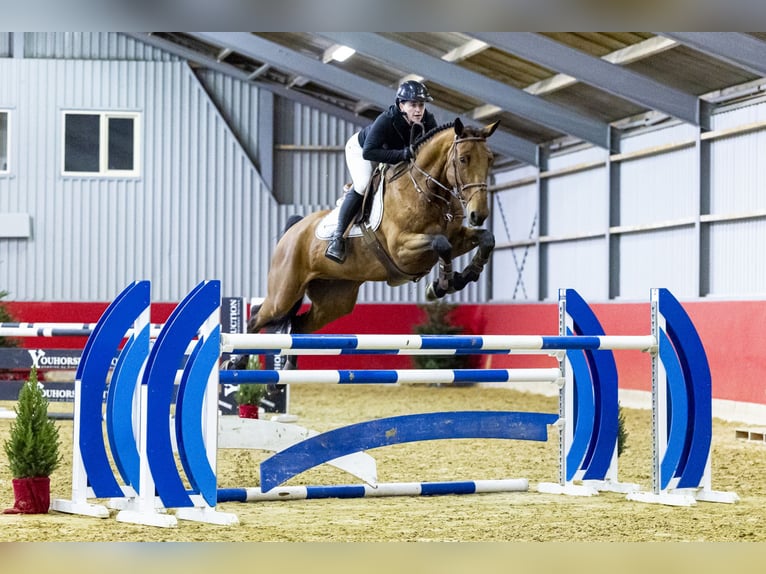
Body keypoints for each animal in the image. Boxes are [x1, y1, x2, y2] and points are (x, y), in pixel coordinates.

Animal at [248, 117, 499, 339]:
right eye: (464, 159)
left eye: (489, 159)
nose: (479, 215)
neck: (427, 193)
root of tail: (293, 230)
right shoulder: (401, 250)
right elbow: (441, 244)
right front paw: (442, 285)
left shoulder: (456, 238)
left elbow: (486, 239)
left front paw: (465, 276)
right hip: (283, 293)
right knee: (256, 317)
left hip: (334, 299)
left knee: (299, 325)